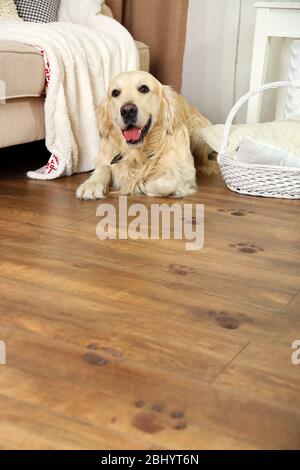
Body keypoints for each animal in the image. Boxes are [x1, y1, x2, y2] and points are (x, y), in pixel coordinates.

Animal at [77, 70, 213, 199]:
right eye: (115, 93)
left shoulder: (186, 172)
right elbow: (103, 168)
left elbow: (162, 183)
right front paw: (90, 185)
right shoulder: (107, 158)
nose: (127, 110)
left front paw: (139, 185)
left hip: (198, 133)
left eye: (144, 89)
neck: (137, 153)